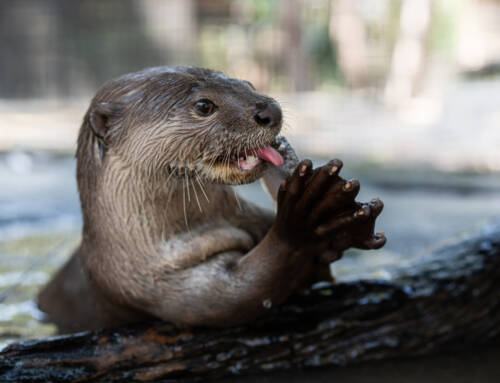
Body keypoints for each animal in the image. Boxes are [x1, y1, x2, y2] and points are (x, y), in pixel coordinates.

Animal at [38, 66, 386, 332]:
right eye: (204, 106)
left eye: (248, 85)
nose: (270, 111)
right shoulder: (150, 286)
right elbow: (238, 298)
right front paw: (306, 219)